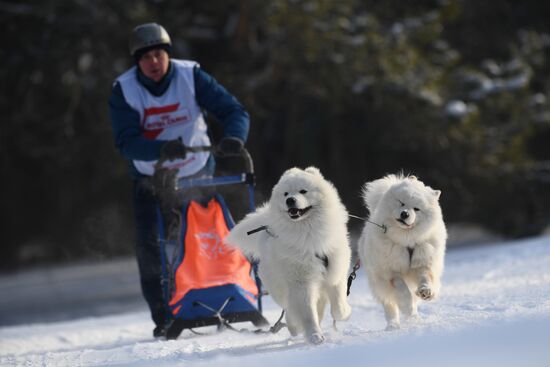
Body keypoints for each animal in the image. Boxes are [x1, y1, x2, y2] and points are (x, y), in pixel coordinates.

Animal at [225, 167, 352, 344]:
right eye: (286, 194)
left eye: (303, 191)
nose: (290, 200)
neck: (307, 233)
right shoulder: (301, 282)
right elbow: (307, 313)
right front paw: (314, 335)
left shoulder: (335, 270)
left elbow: (339, 303)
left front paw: (345, 313)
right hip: (279, 286)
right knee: (289, 308)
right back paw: (294, 326)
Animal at [358, 175, 448, 330]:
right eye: (401, 203)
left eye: (416, 209)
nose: (404, 214)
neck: (406, 241)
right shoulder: (390, 272)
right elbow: (402, 290)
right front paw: (407, 306)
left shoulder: (423, 262)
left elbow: (425, 278)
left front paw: (426, 292)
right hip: (379, 284)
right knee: (390, 307)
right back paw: (393, 325)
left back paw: (415, 318)